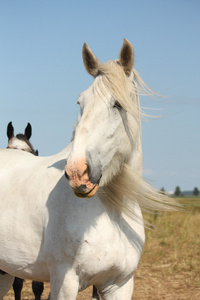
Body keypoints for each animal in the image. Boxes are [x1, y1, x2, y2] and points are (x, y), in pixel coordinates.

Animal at [0, 39, 177, 298]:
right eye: (80, 102)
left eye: (117, 104)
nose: (77, 173)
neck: (112, 211)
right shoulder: (65, 282)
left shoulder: (120, 284)